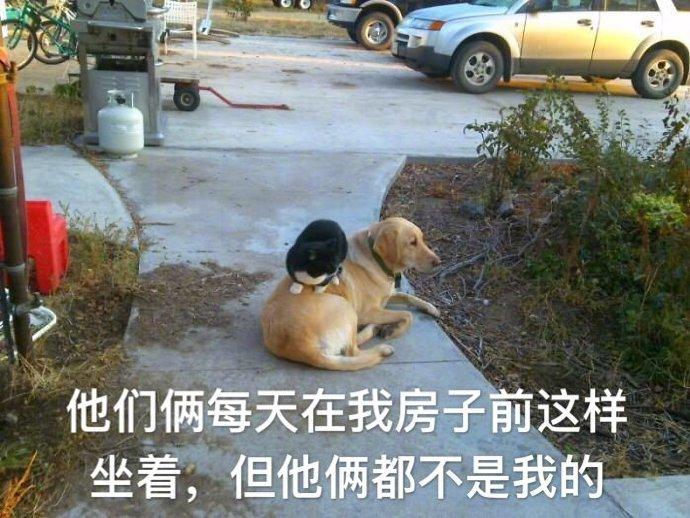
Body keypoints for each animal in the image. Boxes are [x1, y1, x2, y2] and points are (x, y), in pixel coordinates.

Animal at [261, 217, 441, 371]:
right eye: (412, 243)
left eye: (422, 239)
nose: (438, 262)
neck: (376, 259)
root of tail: (301, 347)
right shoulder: (368, 312)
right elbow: (407, 315)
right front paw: (394, 330)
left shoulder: (388, 295)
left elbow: (408, 297)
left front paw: (430, 307)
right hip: (347, 308)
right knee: (352, 351)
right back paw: (379, 342)